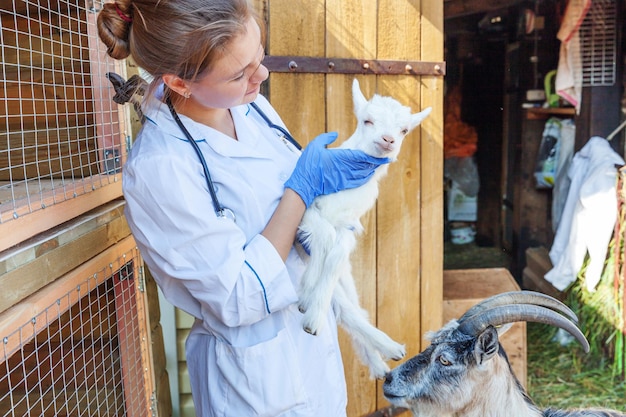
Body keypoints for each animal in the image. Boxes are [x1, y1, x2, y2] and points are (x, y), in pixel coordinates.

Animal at [296, 77, 428, 376]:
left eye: (404, 130)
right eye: (367, 120)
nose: (388, 140)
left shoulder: (348, 229)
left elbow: (334, 255)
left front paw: (311, 292)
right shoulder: (306, 206)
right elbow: (323, 234)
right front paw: (309, 286)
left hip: (348, 277)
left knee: (351, 307)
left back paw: (385, 355)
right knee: (345, 306)